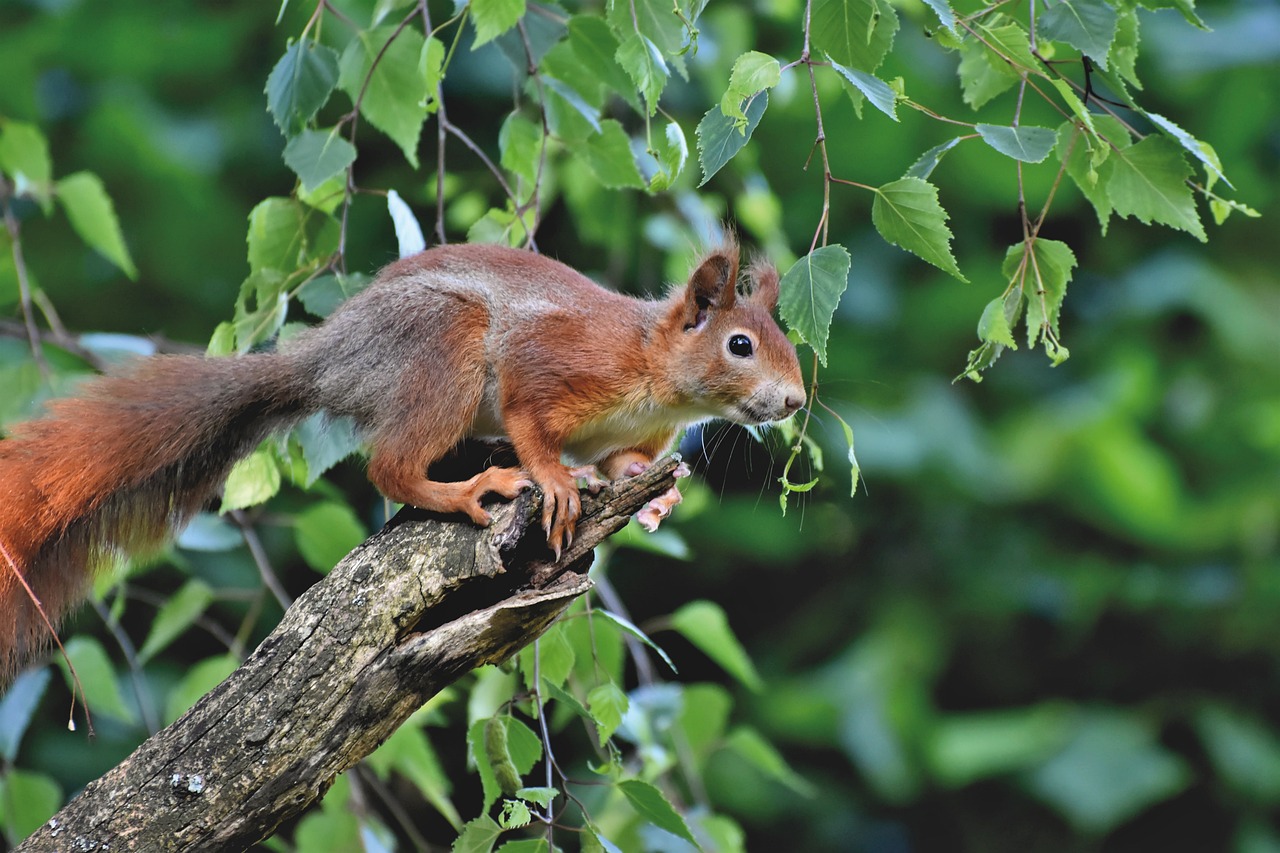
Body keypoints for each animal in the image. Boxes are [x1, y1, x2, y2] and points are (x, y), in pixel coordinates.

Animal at [0, 239, 798, 676]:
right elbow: (532, 420)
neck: (656, 375)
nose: (794, 400)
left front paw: (654, 493)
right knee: (390, 467)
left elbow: (623, 465)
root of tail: (332, 360)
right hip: (442, 345)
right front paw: (555, 480)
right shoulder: (553, 362)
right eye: (739, 345)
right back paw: (470, 490)